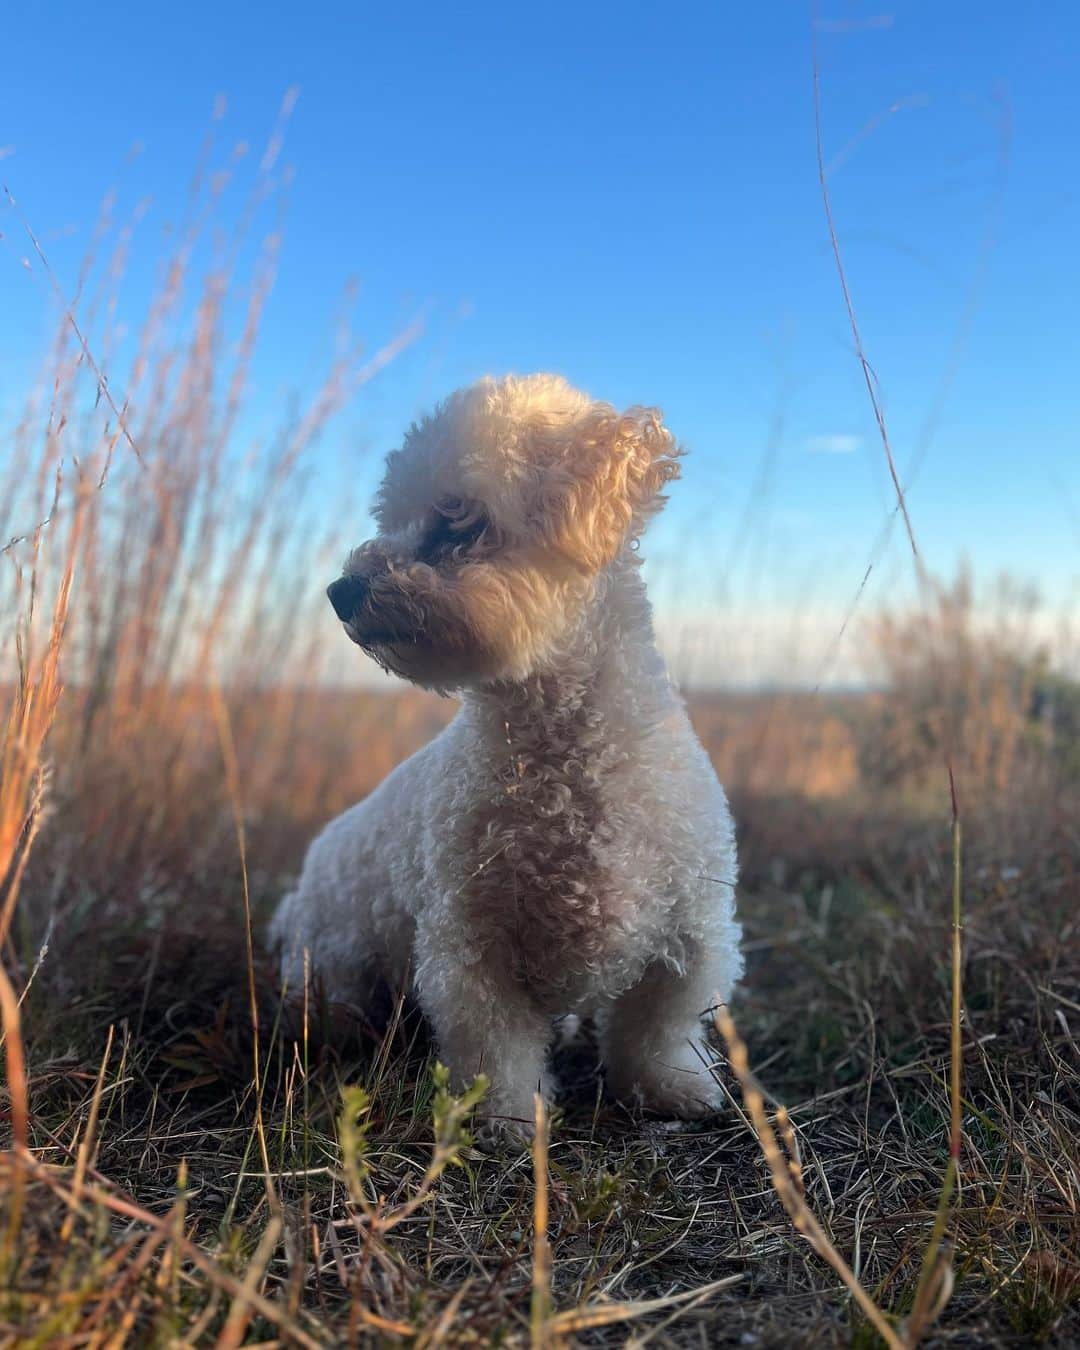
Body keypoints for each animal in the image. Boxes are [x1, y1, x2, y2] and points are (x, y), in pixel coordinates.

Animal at [272, 375, 745, 1134]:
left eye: (457, 521)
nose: (340, 591)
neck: (562, 766)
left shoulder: (691, 931)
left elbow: (658, 1028)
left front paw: (671, 1088)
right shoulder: (471, 948)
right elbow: (494, 1045)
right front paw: (507, 1119)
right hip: (333, 964)